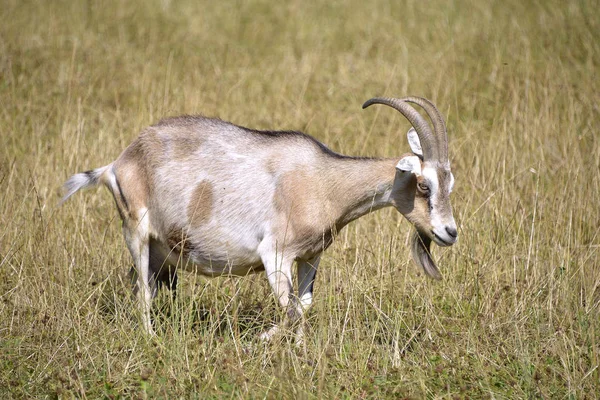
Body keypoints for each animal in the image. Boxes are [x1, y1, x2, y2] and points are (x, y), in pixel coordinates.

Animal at [62, 95, 454, 340]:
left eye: (450, 182)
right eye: (423, 185)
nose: (449, 232)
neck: (323, 180)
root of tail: (119, 162)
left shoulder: (310, 256)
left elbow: (304, 306)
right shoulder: (275, 254)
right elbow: (292, 310)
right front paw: (264, 338)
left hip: (161, 252)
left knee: (142, 284)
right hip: (136, 232)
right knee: (143, 291)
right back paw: (150, 338)